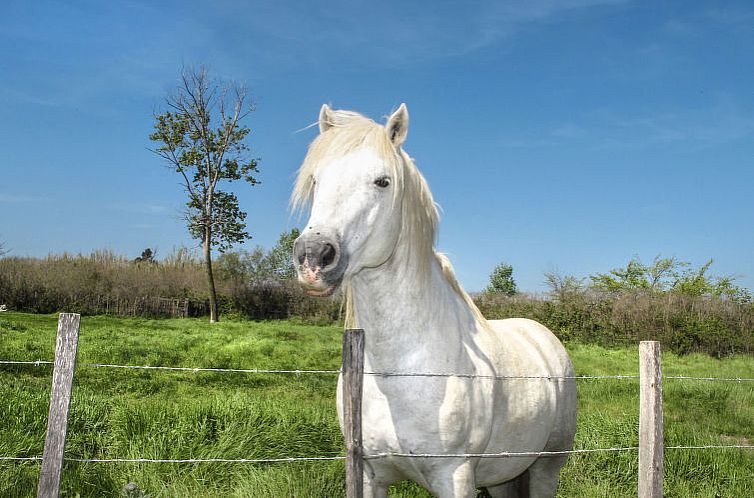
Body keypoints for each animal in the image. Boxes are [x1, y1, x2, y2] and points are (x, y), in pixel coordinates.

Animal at [290, 103, 572, 496]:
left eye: (383, 181)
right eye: (316, 180)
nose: (313, 257)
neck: (399, 370)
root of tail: (542, 335)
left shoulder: (453, 476)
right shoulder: (369, 474)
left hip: (548, 465)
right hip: (503, 474)